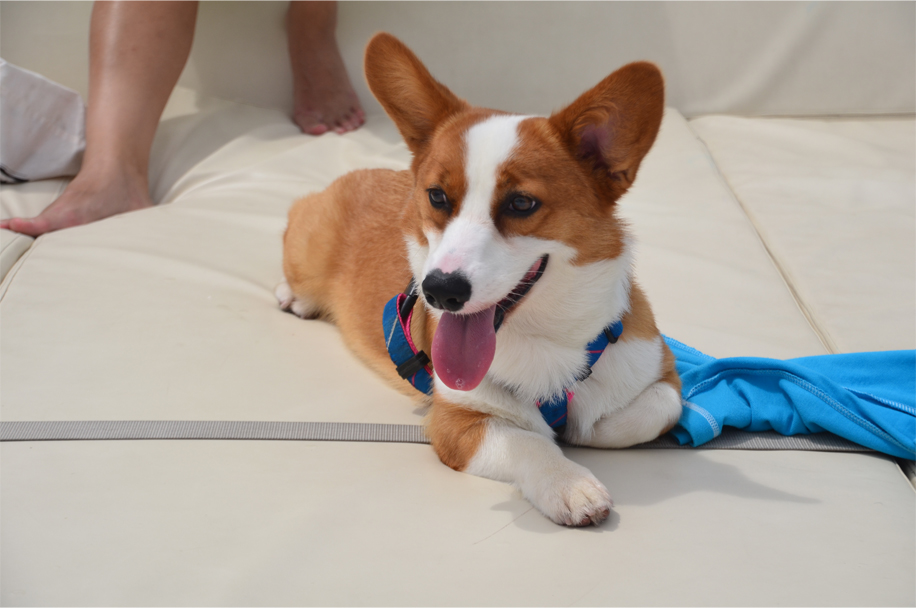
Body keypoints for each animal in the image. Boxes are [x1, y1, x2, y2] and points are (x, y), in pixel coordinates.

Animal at [277, 33, 682, 526]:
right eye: (436, 196)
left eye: (522, 203)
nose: (439, 291)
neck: (545, 337)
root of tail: (352, 174)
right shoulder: (456, 421)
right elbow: (527, 440)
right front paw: (567, 482)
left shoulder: (663, 373)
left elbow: (650, 412)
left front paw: (584, 428)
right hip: (307, 250)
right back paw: (292, 297)